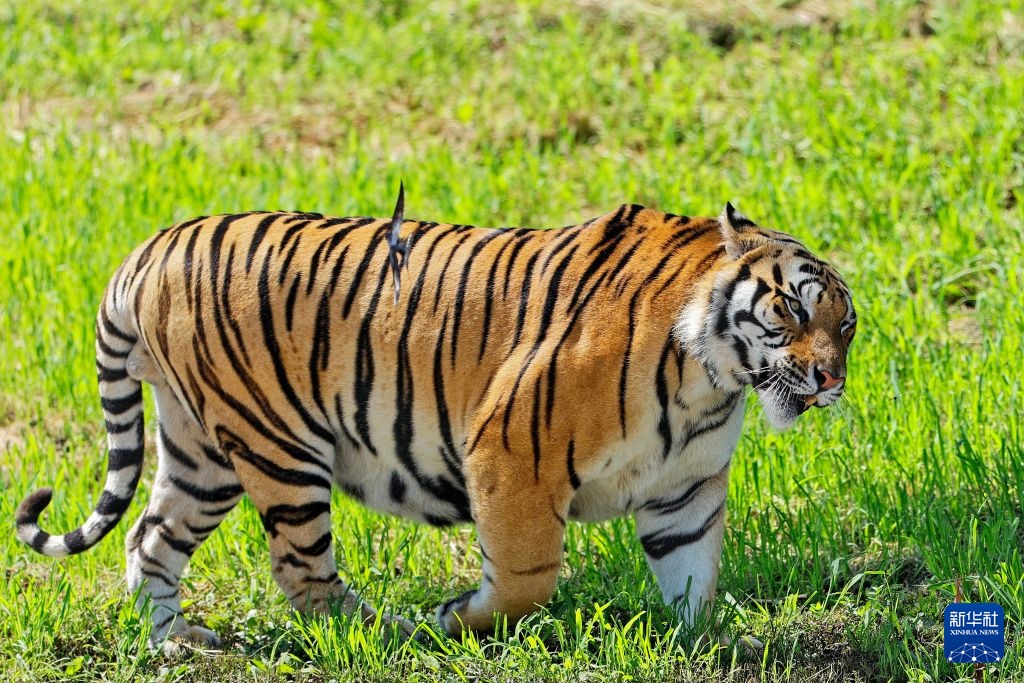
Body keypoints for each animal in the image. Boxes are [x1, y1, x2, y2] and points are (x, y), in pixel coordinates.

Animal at [16, 194, 856, 651]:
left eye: (845, 326)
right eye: (792, 307)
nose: (831, 378)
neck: (712, 381)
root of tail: (149, 249)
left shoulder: (684, 491)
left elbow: (693, 582)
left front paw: (708, 644)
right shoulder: (513, 451)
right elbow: (526, 578)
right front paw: (457, 619)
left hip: (203, 453)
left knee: (149, 536)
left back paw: (176, 644)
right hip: (278, 447)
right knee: (301, 569)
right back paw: (379, 628)